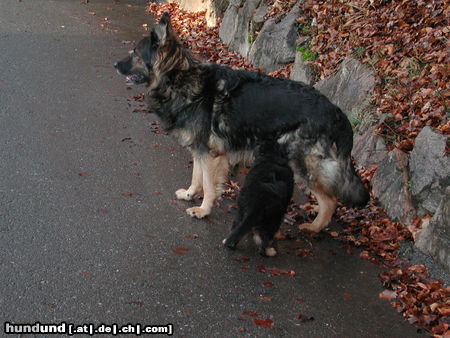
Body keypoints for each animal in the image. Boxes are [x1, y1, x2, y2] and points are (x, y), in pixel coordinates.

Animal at [113, 11, 370, 231]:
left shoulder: (210, 155)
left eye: (135, 53)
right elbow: (196, 176)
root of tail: (334, 109)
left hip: (301, 163)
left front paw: (203, 210)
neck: (180, 78)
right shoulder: (199, 149)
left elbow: (208, 184)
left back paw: (315, 227)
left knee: (331, 200)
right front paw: (189, 194)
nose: (115, 65)